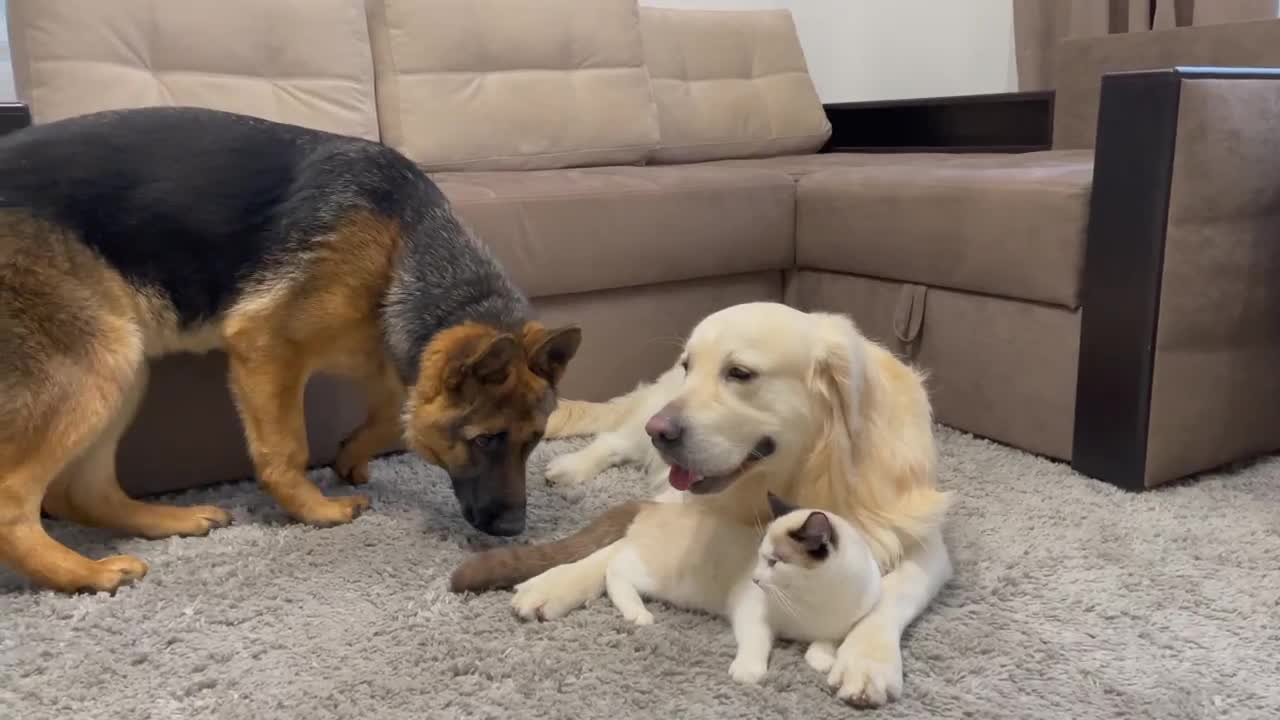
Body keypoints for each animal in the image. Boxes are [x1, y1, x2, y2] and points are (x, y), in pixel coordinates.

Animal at [0, 105, 581, 589]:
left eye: (534, 440)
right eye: (487, 440)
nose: (515, 528)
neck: (402, 248)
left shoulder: (391, 362)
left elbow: (390, 416)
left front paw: (350, 457)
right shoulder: (267, 348)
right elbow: (287, 450)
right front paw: (316, 509)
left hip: (124, 367)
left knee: (81, 491)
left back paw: (169, 521)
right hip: (101, 363)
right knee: (15, 500)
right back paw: (85, 573)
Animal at [601, 489, 880, 681]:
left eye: (774, 562)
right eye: (761, 558)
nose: (755, 579)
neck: (811, 599)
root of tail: (653, 506)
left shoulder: (843, 625)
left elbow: (828, 641)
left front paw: (821, 659)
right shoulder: (752, 613)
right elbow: (757, 642)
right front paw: (748, 671)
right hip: (658, 576)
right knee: (615, 570)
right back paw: (638, 614)